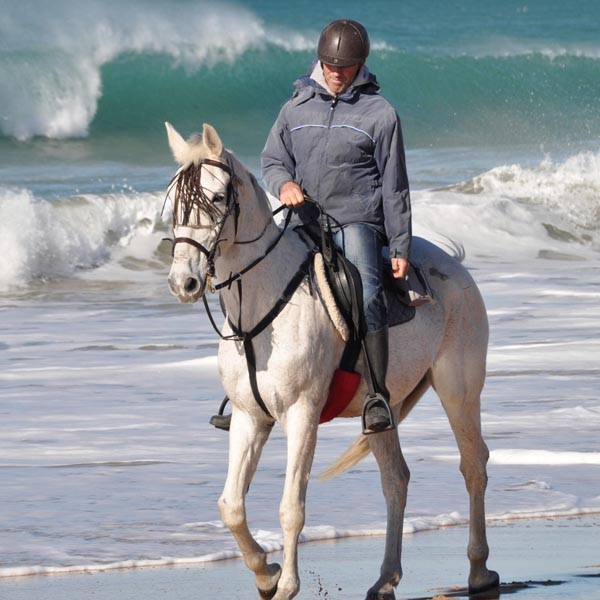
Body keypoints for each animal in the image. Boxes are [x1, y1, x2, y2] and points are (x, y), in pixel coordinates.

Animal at [166, 122, 500, 600]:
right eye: (174, 203)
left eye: (215, 197)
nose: (184, 282)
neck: (263, 309)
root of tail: (454, 264)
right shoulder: (250, 418)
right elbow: (230, 505)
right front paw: (265, 574)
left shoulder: (301, 414)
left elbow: (291, 506)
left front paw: (286, 584)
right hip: (383, 409)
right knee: (395, 480)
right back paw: (385, 578)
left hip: (459, 391)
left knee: (473, 466)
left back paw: (478, 570)